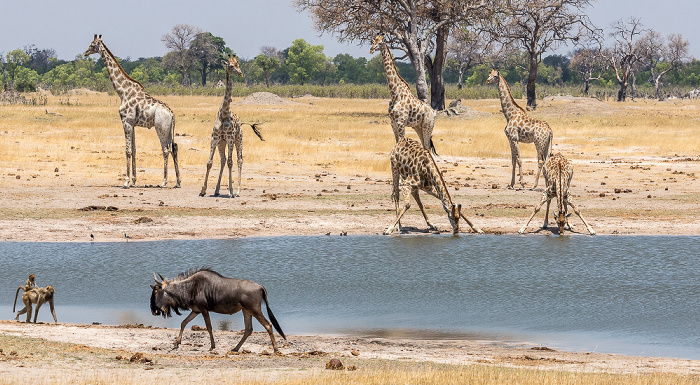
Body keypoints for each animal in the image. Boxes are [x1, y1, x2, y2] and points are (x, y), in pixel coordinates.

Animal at [84, 34, 180, 188]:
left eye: (93, 44)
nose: (86, 52)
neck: (122, 92)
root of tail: (171, 114)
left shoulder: (126, 121)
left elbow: (128, 150)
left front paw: (126, 181)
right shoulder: (132, 124)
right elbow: (134, 150)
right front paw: (134, 180)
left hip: (160, 128)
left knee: (166, 150)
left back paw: (164, 182)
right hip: (169, 129)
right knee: (174, 148)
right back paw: (178, 181)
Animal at [200, 54, 266, 198]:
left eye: (238, 64)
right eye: (231, 65)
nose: (240, 73)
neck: (224, 113)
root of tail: (241, 123)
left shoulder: (230, 138)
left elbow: (231, 163)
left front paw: (230, 191)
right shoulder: (215, 138)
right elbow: (209, 162)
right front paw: (203, 190)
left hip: (238, 139)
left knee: (238, 160)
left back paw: (237, 191)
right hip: (222, 142)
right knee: (223, 160)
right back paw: (217, 190)